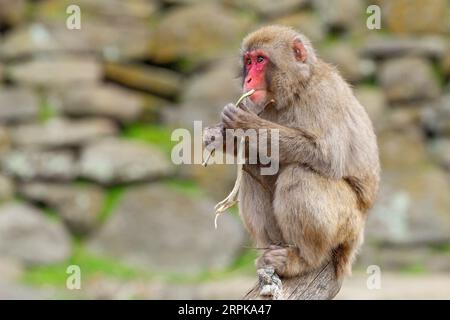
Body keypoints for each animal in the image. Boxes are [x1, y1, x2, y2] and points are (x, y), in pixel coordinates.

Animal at [204, 26, 380, 278]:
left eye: (260, 59)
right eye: (248, 61)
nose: (248, 79)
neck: (296, 89)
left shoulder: (323, 96)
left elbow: (328, 156)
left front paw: (245, 124)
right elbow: (259, 154)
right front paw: (220, 136)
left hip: (348, 224)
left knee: (300, 173)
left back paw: (304, 260)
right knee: (255, 168)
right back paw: (272, 251)